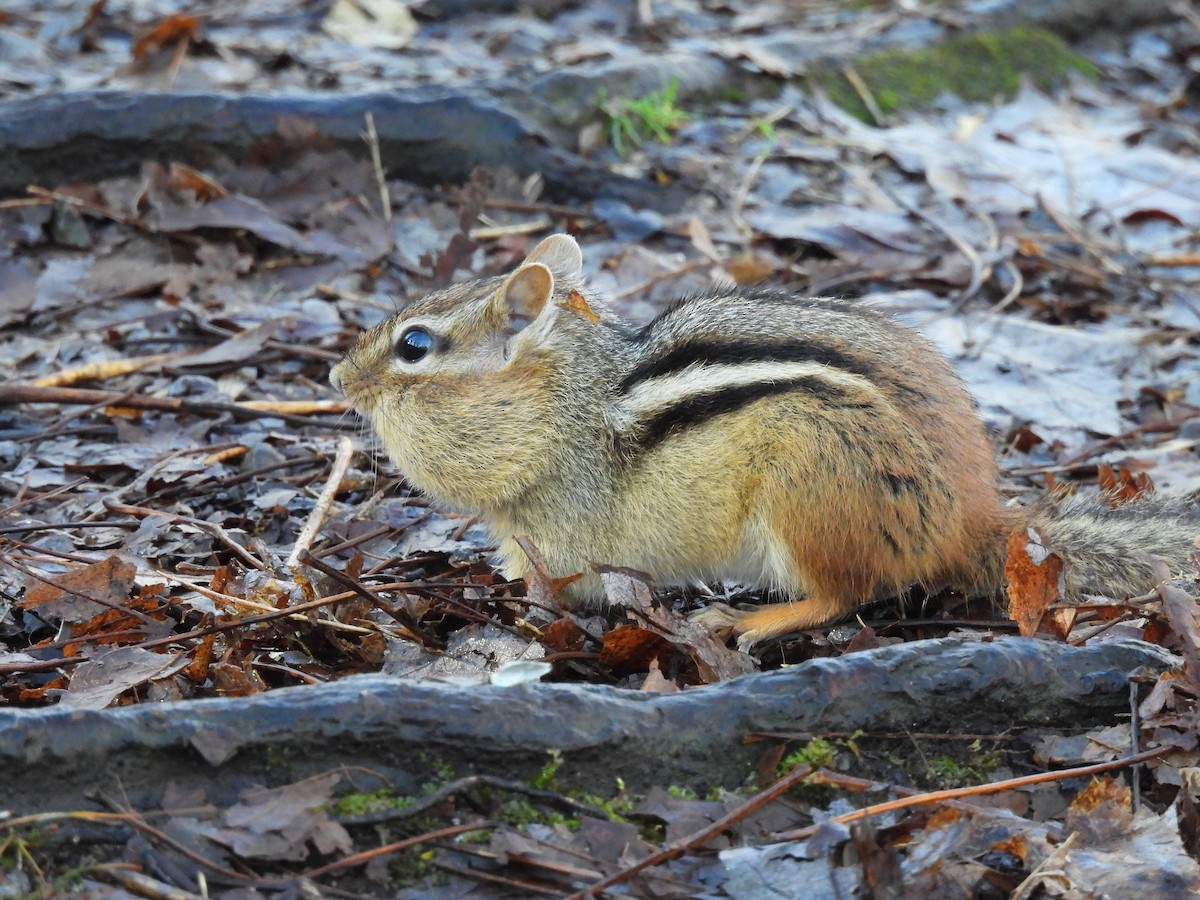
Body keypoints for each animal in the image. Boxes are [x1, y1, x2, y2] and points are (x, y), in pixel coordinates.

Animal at [330, 234, 1199, 649]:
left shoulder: (558, 541)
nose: (337, 375)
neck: (565, 406)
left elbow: (546, 594)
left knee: (843, 594)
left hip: (807, 486)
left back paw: (750, 622)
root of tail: (971, 520)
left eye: (413, 346)